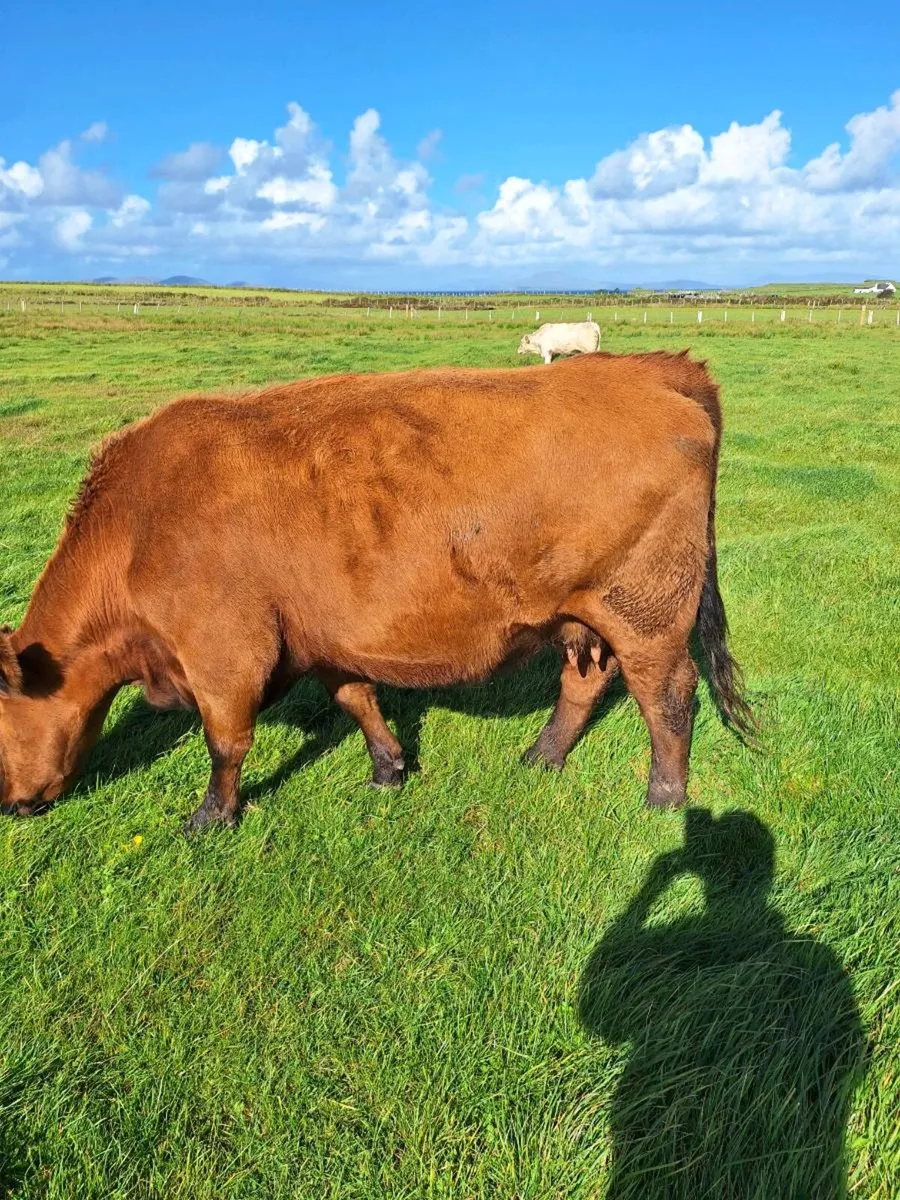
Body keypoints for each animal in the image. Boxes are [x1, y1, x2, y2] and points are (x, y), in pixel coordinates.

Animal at [0, 350, 754, 833]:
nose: (9, 803)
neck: (138, 526)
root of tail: (649, 366)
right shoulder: (323, 637)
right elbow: (355, 698)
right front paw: (388, 768)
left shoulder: (224, 652)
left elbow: (226, 742)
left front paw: (211, 818)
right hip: (582, 615)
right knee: (586, 681)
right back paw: (541, 757)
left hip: (645, 610)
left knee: (667, 696)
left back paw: (664, 795)